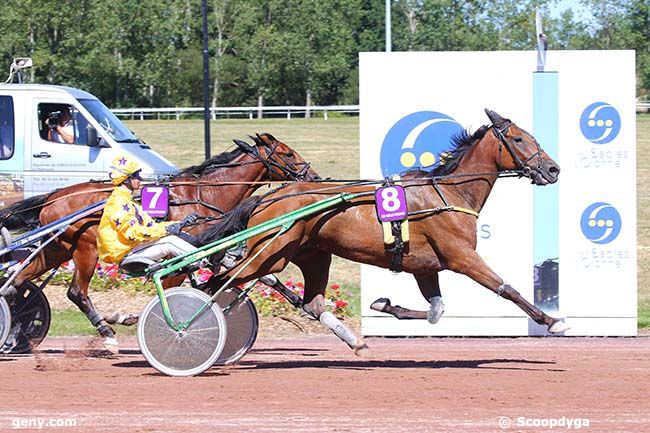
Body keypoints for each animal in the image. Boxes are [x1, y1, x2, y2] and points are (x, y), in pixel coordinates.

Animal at [0, 132, 318, 352]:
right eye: (288, 153)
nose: (313, 176)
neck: (204, 195)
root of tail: (54, 195)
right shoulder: (182, 255)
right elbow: (173, 287)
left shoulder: (207, 249)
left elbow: (260, 275)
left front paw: (300, 303)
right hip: (85, 250)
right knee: (76, 292)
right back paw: (107, 333)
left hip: (56, 249)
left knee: (18, 283)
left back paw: (15, 330)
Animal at [202, 109, 568, 340]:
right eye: (519, 139)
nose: (553, 169)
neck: (449, 193)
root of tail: (268, 197)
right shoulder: (461, 257)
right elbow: (506, 288)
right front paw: (551, 320)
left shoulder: (424, 266)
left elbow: (435, 310)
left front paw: (384, 304)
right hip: (269, 254)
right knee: (216, 283)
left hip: (310, 255)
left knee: (309, 302)